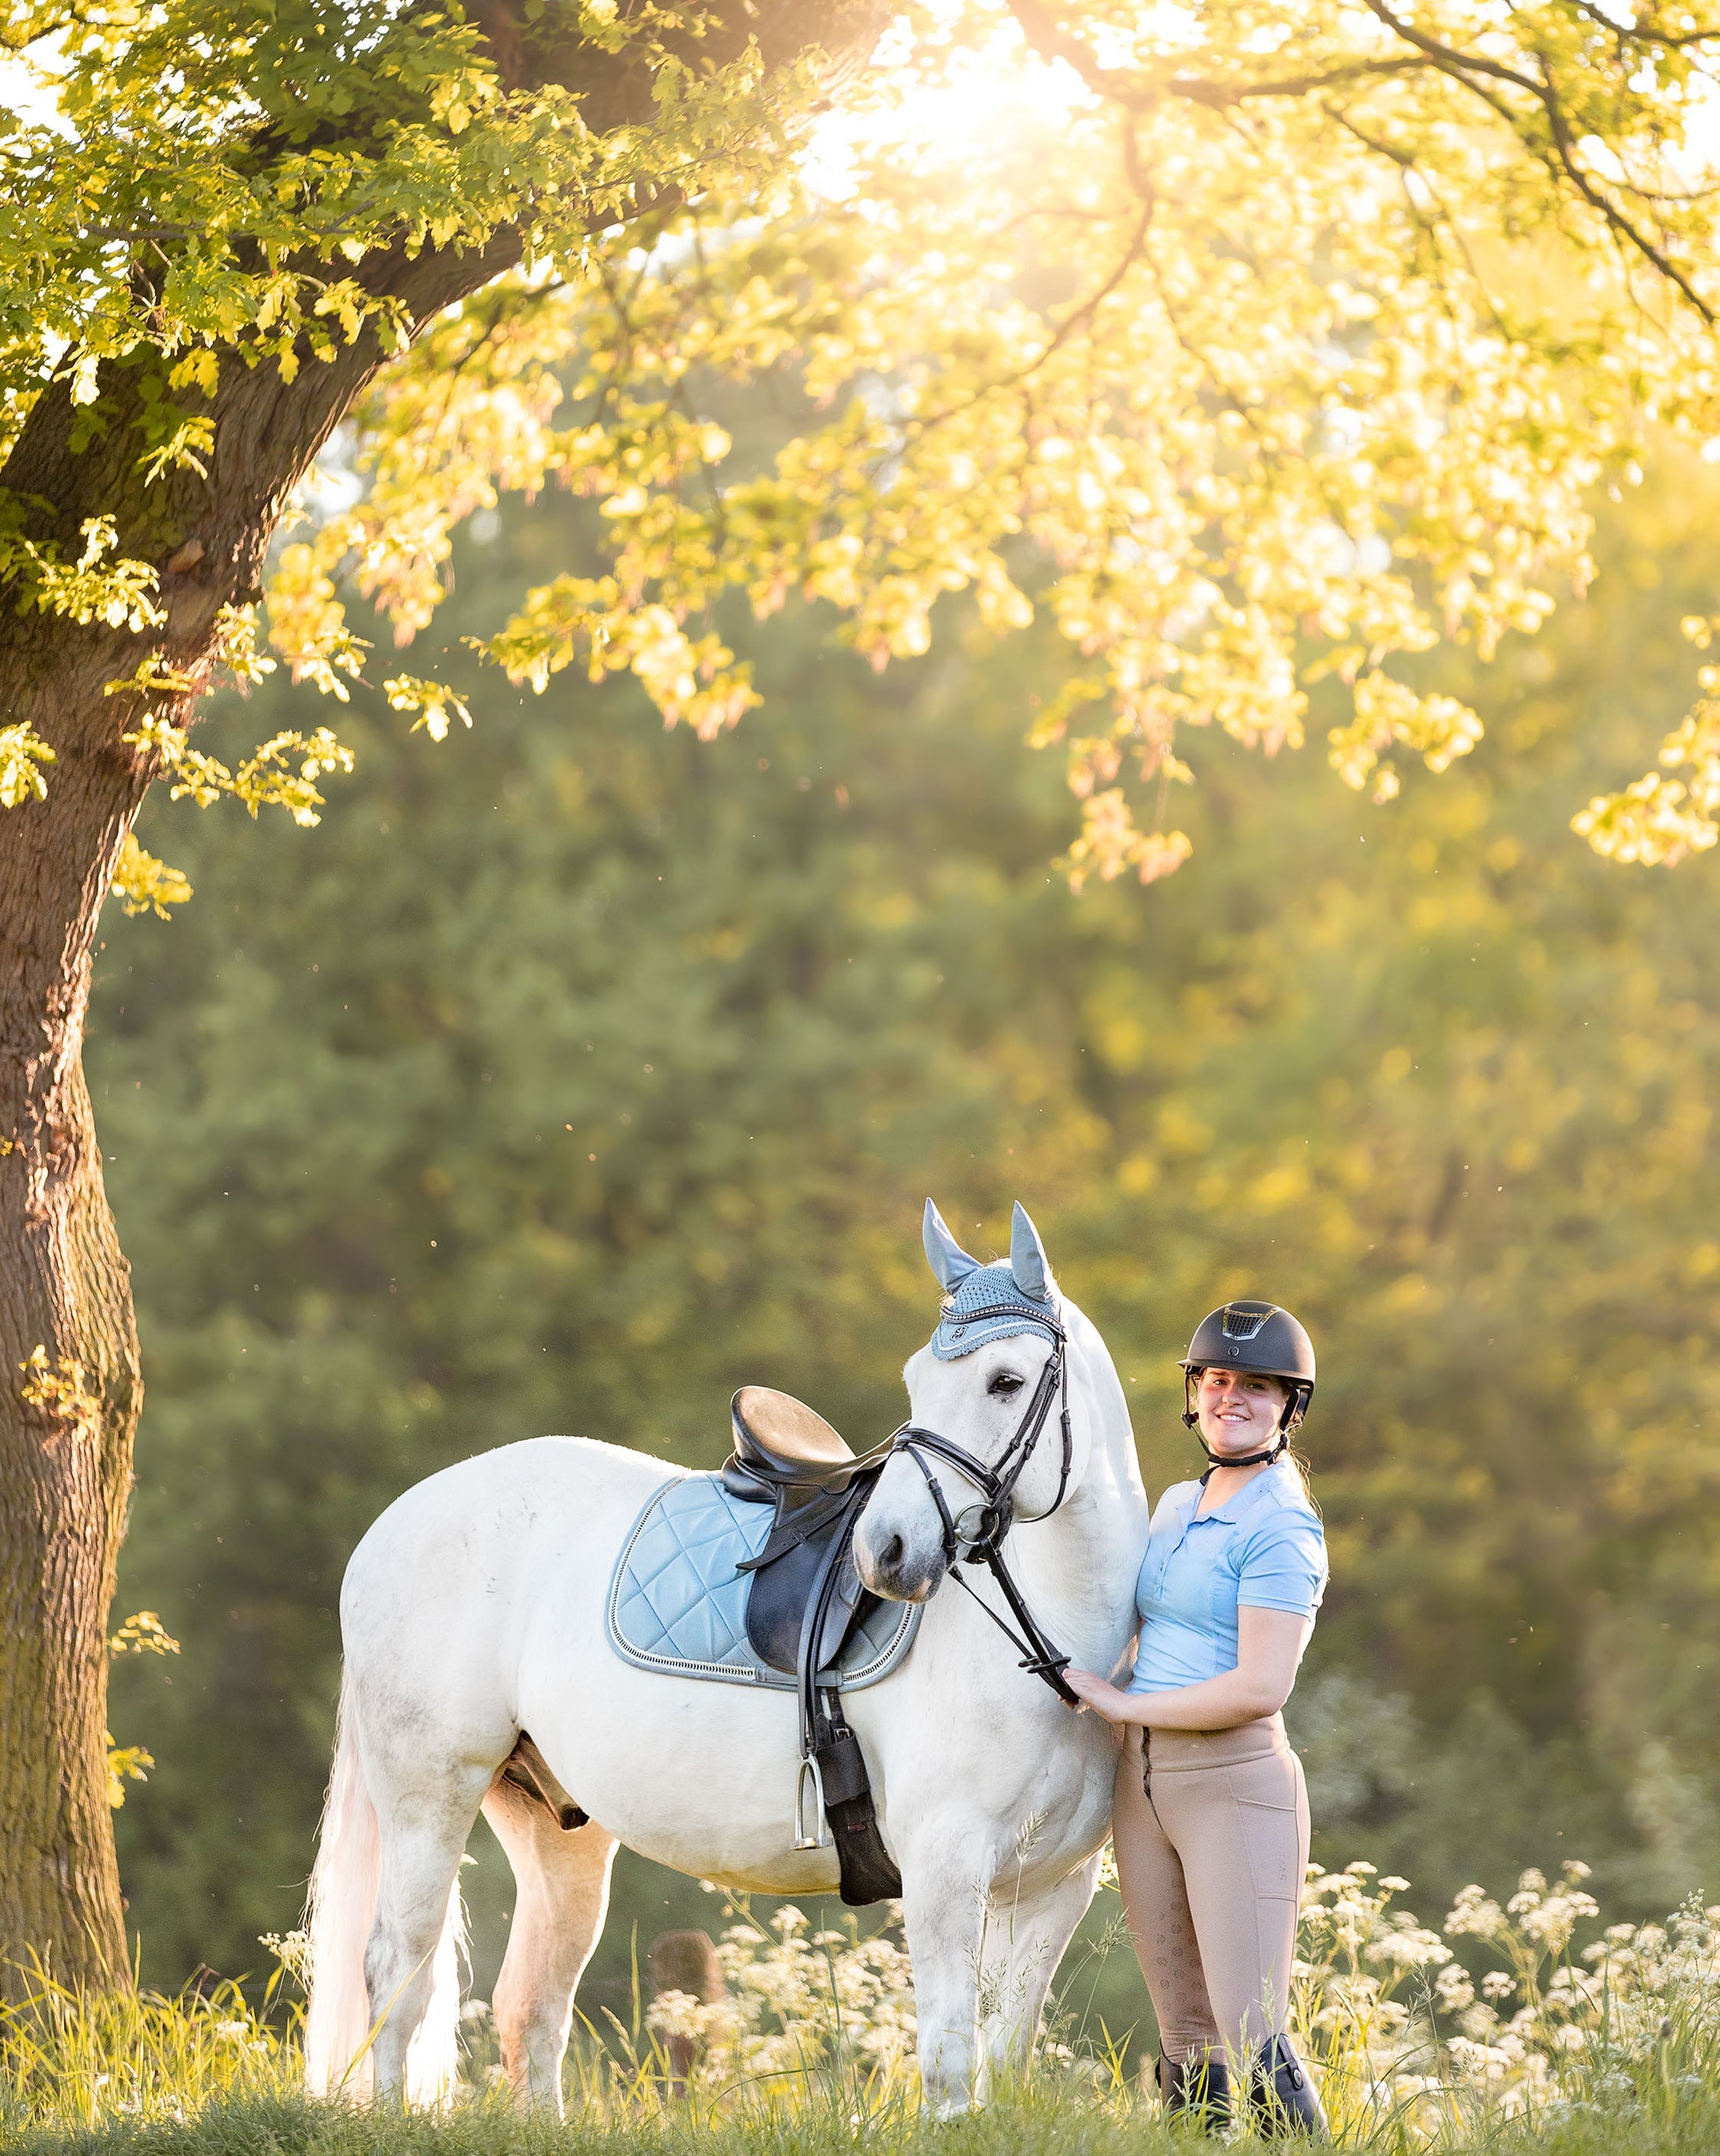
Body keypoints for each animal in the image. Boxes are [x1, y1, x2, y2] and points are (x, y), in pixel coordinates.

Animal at [301, 1200, 1150, 2114]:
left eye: (1005, 1381)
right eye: (919, 1378)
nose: (884, 1551)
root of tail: (397, 1519)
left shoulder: (1049, 1892)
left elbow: (1006, 2056)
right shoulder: (944, 1869)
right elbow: (951, 2059)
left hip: (555, 1828)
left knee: (531, 2002)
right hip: (430, 1793)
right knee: (400, 1974)